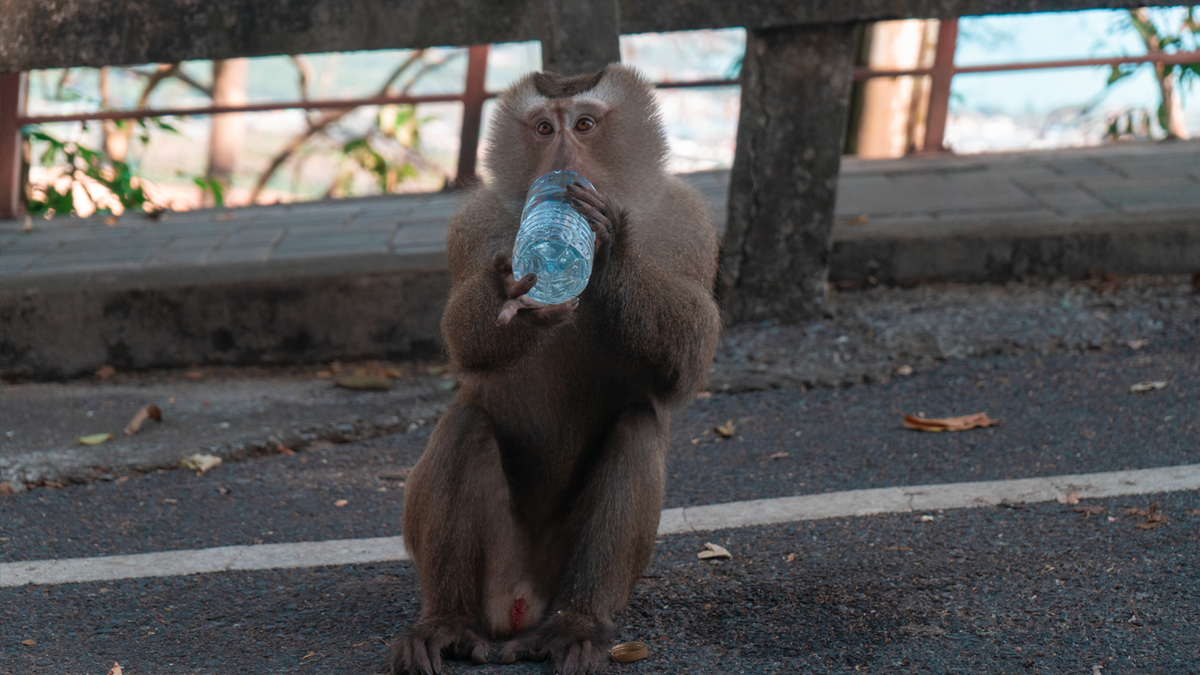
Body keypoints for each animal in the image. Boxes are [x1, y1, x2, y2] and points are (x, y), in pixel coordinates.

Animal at [388, 64, 715, 672]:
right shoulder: (474, 223)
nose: (561, 162)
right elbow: (463, 344)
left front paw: (611, 249)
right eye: (544, 128)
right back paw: (447, 621)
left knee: (636, 428)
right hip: (496, 566)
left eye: (583, 124)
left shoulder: (688, 221)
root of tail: (522, 602)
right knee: (466, 423)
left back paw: (577, 624)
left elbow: (689, 361)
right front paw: (512, 293)